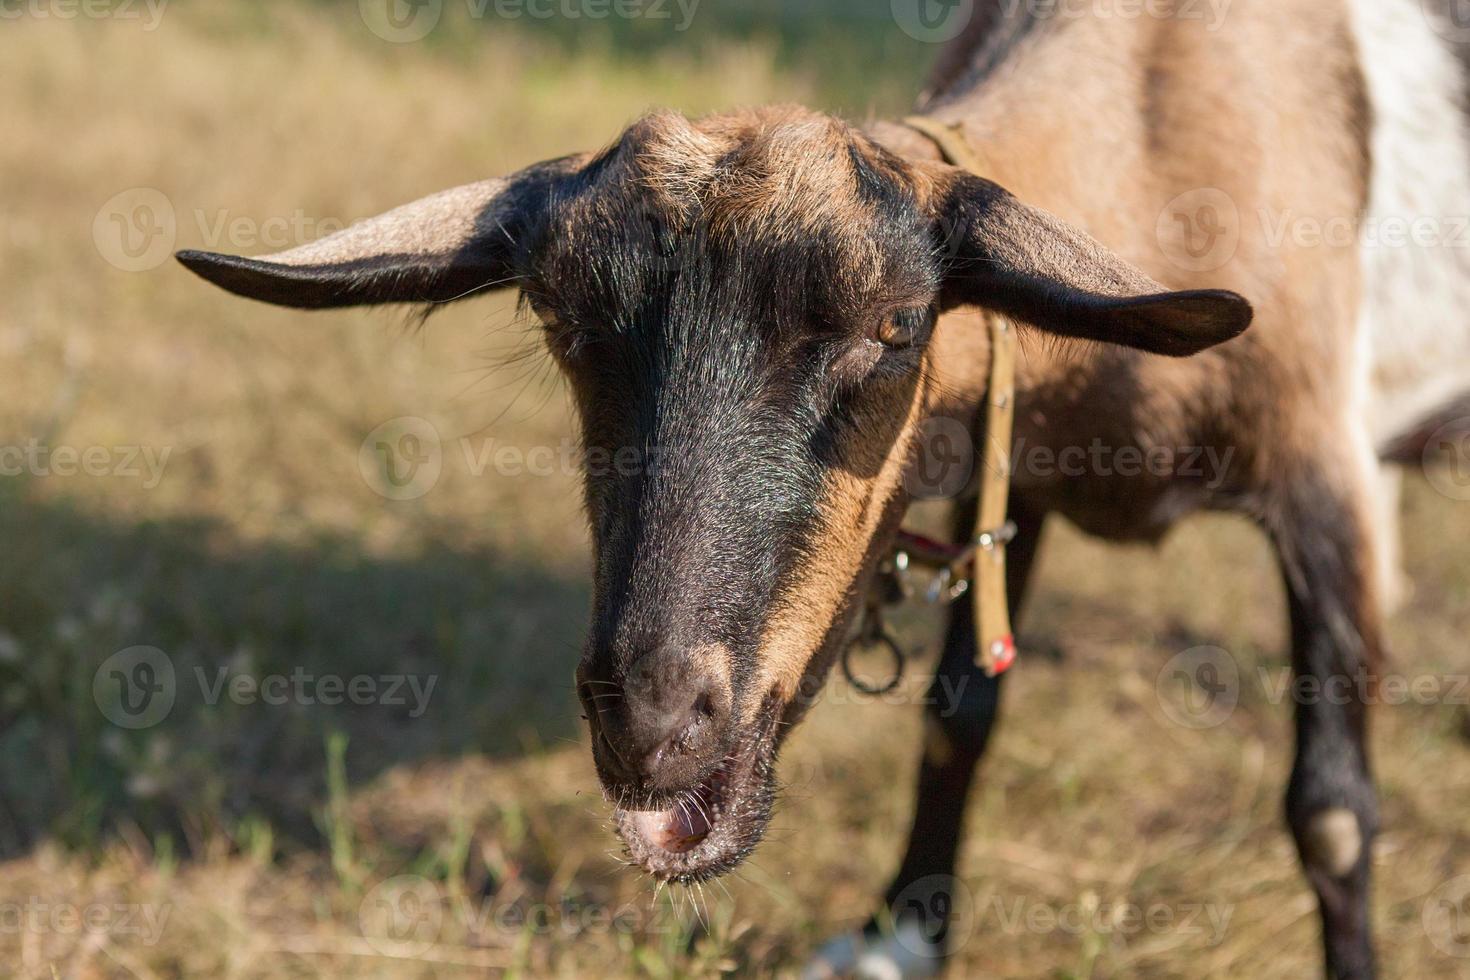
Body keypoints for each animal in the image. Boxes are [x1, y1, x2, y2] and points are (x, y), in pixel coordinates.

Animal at [174, 3, 1470, 975]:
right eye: (561, 320)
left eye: (893, 329)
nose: (651, 721)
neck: (1165, 114)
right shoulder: (1019, 478)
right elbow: (959, 715)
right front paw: (903, 932)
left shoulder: (1330, 486)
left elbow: (1332, 812)